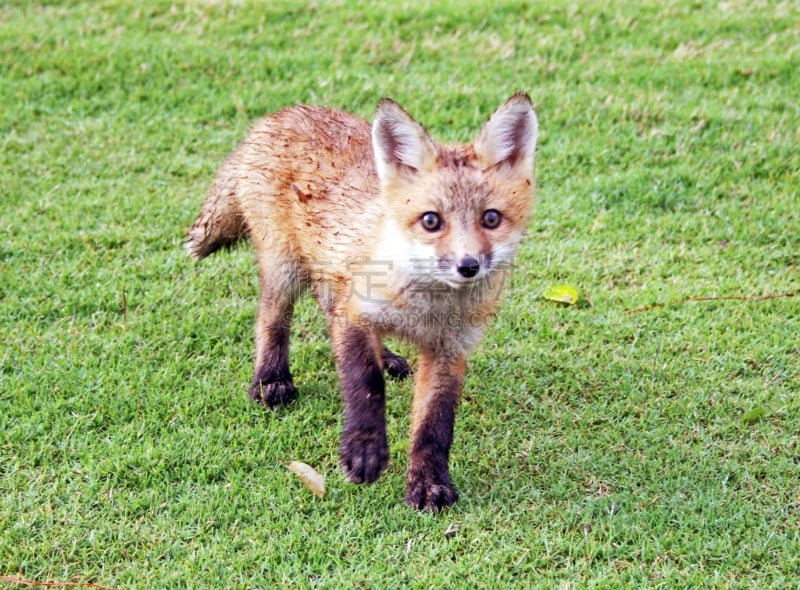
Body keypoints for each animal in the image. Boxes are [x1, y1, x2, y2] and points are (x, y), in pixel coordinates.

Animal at [184, 93, 540, 512]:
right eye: (431, 221)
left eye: (491, 218)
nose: (467, 266)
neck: (427, 309)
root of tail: (283, 113)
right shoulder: (355, 314)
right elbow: (365, 382)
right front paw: (364, 451)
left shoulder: (450, 348)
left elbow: (434, 425)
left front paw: (429, 482)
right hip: (284, 267)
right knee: (272, 319)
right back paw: (272, 379)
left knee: (327, 309)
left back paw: (386, 356)